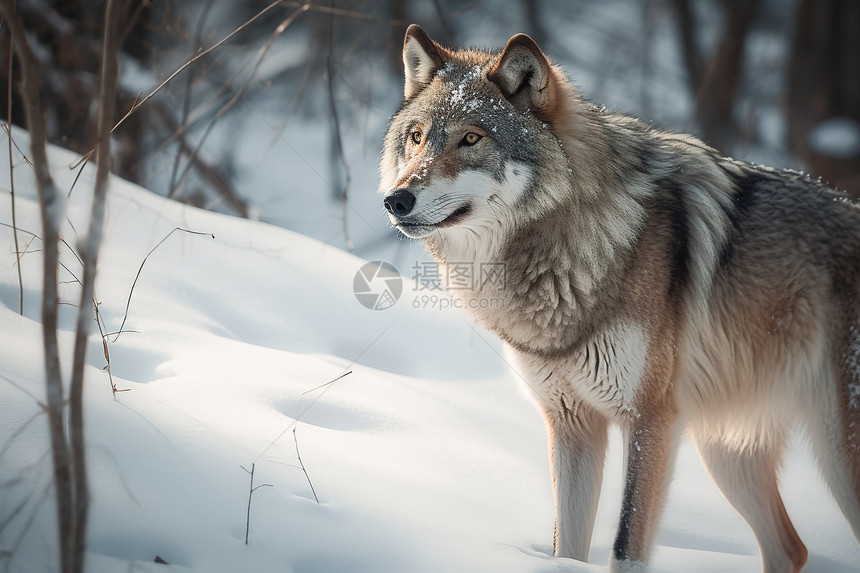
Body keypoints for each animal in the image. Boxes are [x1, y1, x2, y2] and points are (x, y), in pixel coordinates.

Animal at [380, 24, 860, 568]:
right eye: (417, 137)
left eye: (471, 138)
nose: (396, 200)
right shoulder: (571, 424)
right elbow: (566, 547)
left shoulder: (649, 420)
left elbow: (626, 546)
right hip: (725, 451)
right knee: (791, 549)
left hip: (832, 454)